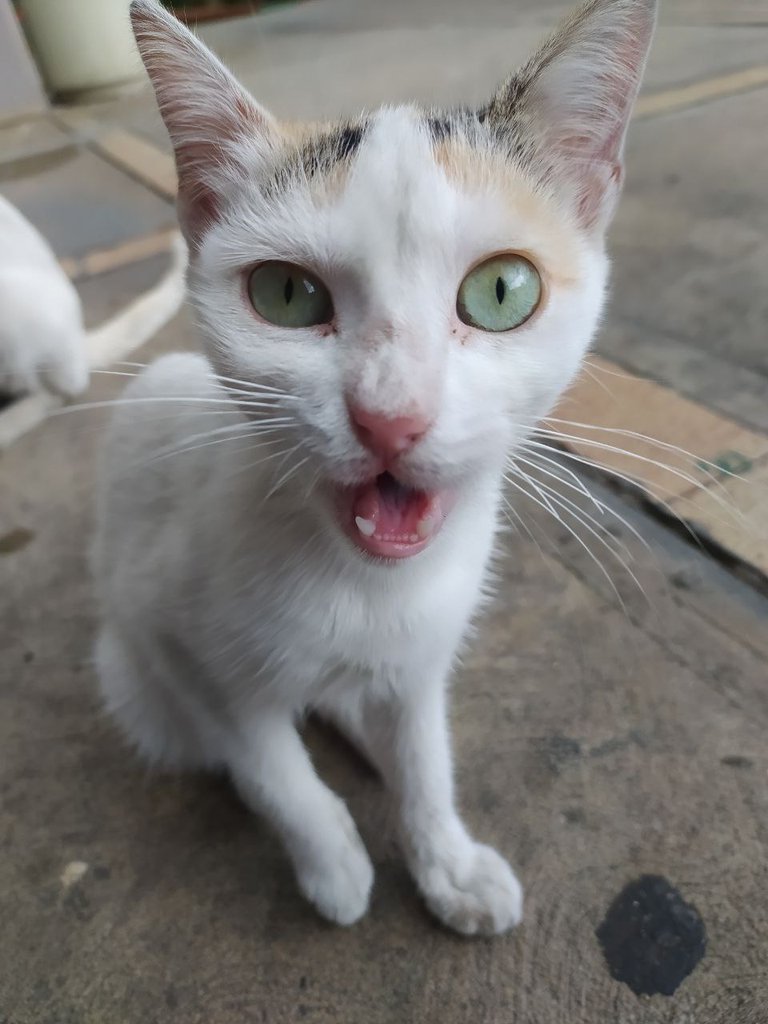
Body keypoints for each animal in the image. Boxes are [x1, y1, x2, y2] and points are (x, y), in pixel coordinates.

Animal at [93, 0, 659, 933]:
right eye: (285, 295)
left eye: (502, 291)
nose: (391, 416)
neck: (362, 589)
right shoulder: (168, 630)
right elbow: (268, 763)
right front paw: (332, 865)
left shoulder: (427, 654)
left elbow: (426, 761)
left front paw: (447, 864)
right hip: (131, 674)